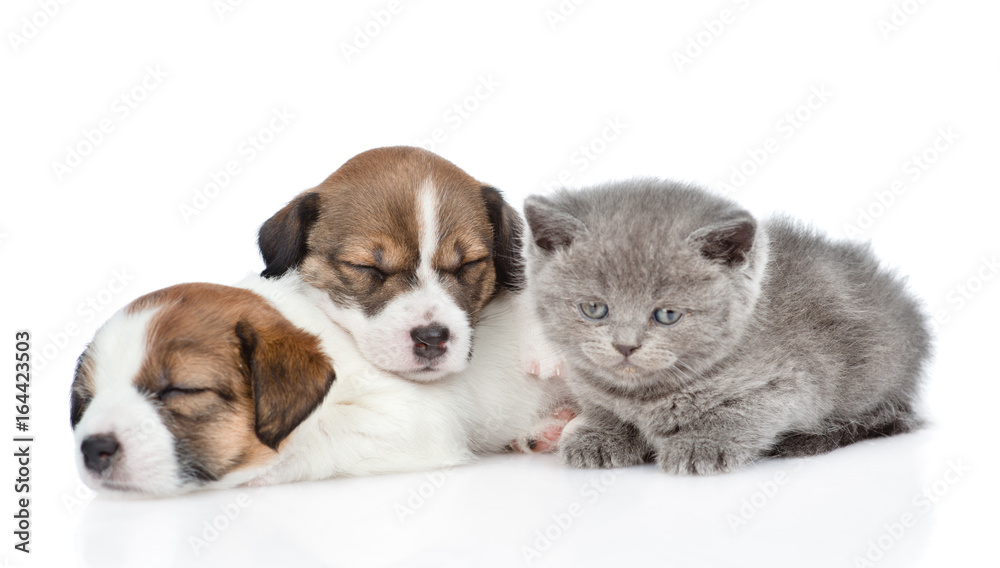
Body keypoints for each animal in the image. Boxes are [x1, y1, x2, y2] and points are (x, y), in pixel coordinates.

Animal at [524, 180, 928, 472]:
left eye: (667, 315)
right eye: (594, 308)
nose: (625, 346)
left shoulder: (792, 380)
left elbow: (742, 410)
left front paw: (702, 444)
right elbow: (602, 407)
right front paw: (597, 435)